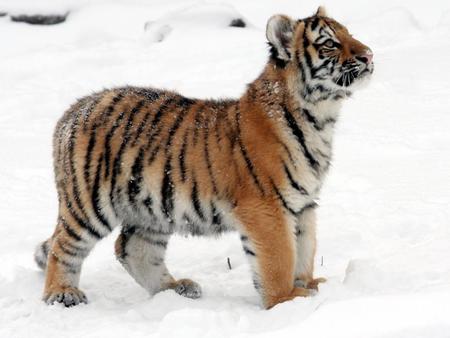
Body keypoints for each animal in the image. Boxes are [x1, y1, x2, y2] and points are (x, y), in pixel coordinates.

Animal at [34, 7, 372, 308]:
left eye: (349, 33)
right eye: (330, 43)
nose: (368, 55)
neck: (320, 118)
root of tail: (73, 110)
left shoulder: (304, 204)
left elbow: (305, 248)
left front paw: (310, 286)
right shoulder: (267, 207)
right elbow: (280, 257)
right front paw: (286, 301)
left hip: (151, 208)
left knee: (132, 248)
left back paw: (174, 289)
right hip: (88, 203)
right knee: (63, 246)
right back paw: (62, 294)